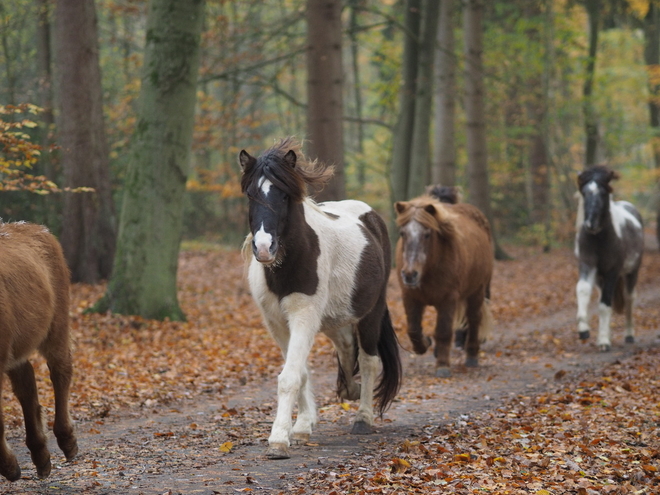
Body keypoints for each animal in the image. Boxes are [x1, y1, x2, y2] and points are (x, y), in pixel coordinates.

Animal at [0, 223, 78, 482]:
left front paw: (9, 466)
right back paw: (41, 456)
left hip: (57, 324)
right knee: (26, 382)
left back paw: (67, 441)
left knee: (60, 370)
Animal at [240, 138, 400, 460]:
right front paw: (301, 427)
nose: (263, 248)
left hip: (370, 312)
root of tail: (372, 217)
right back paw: (348, 392)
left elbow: (290, 376)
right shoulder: (278, 323)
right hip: (332, 319)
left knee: (368, 360)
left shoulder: (304, 315)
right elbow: (300, 372)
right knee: (347, 347)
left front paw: (278, 439)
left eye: (284, 195)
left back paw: (363, 418)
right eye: (251, 194)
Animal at [394, 196, 492, 378]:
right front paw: (425, 343)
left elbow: (444, 331)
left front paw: (442, 366)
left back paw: (471, 356)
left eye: (427, 234)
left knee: (474, 319)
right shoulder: (410, 297)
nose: (410, 274)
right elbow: (413, 330)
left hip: (477, 291)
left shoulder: (448, 299)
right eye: (402, 233)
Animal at [576, 167, 640, 352]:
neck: (599, 239)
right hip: (600, 278)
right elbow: (583, 289)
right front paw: (584, 330)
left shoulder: (613, 271)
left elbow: (605, 305)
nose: (590, 224)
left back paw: (629, 335)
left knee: (628, 299)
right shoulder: (587, 265)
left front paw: (604, 342)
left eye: (603, 193)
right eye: (584, 192)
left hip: (632, 272)